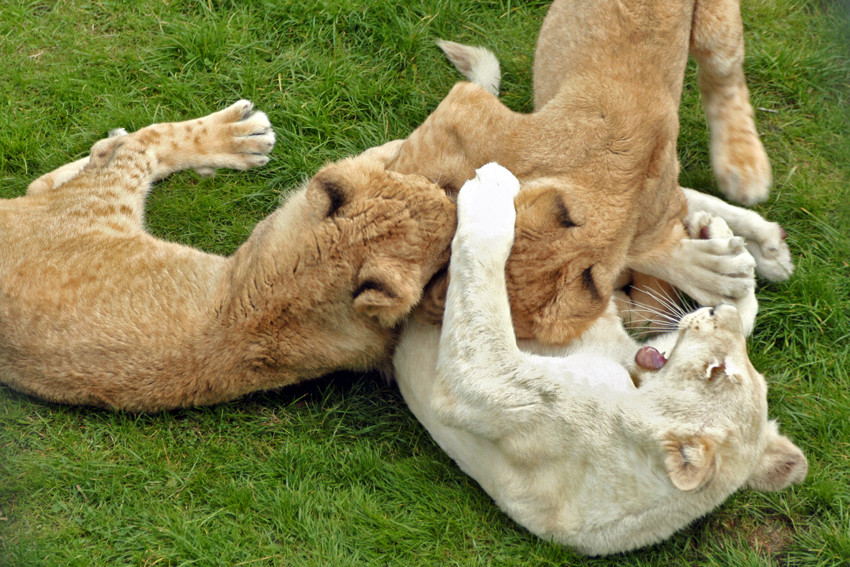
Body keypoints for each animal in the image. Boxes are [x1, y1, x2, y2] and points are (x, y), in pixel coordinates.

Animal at [0, 102, 458, 412]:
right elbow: (368, 159)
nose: (455, 199)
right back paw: (238, 135)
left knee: (53, 180)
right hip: (99, 201)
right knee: (139, 144)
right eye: (436, 195)